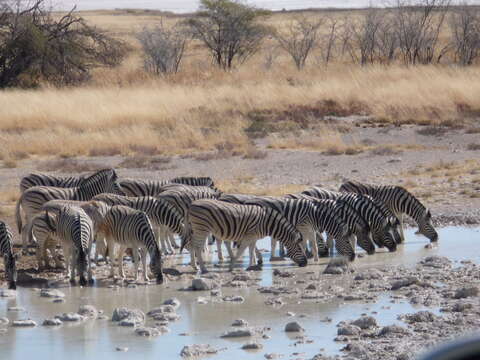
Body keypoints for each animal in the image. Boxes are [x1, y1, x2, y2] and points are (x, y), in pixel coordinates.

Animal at [180, 200, 308, 272]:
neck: (267, 223)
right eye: (299, 248)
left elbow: (251, 252)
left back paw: (195, 266)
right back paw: (203, 269)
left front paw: (251, 266)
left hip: (196, 228)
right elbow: (241, 251)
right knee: (197, 246)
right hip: (202, 228)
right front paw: (231, 267)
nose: (306, 264)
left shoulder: (253, 238)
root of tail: (191, 204)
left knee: (191, 245)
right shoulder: (249, 236)